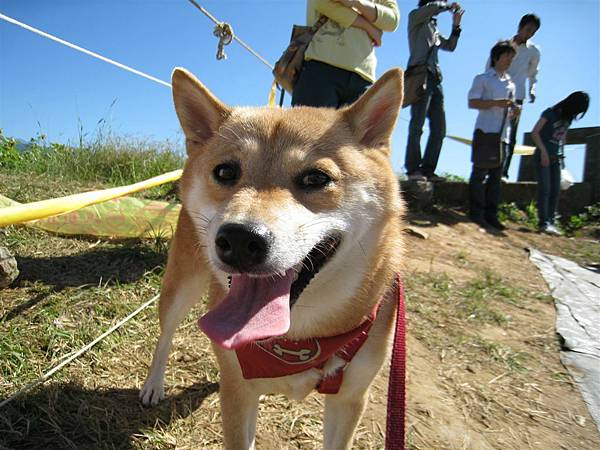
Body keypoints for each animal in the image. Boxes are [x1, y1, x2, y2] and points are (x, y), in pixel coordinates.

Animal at [138, 67, 406, 450]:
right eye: (225, 172)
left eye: (316, 178)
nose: (239, 239)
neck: (300, 338)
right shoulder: (238, 393)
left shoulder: (350, 399)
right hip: (181, 284)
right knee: (165, 335)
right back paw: (153, 384)